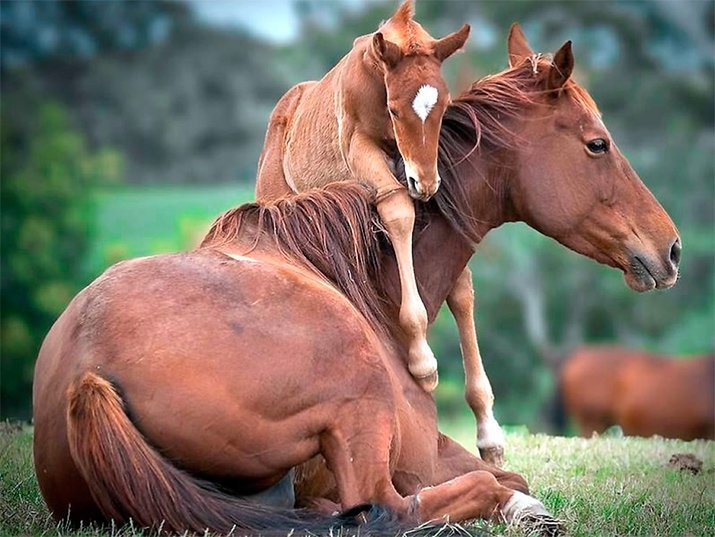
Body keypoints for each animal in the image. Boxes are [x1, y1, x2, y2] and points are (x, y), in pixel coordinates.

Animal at [35, 24, 684, 532]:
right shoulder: (421, 451)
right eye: (598, 144)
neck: (369, 286)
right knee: (388, 508)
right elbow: (503, 477)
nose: (673, 248)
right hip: (362, 405)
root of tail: (86, 378)